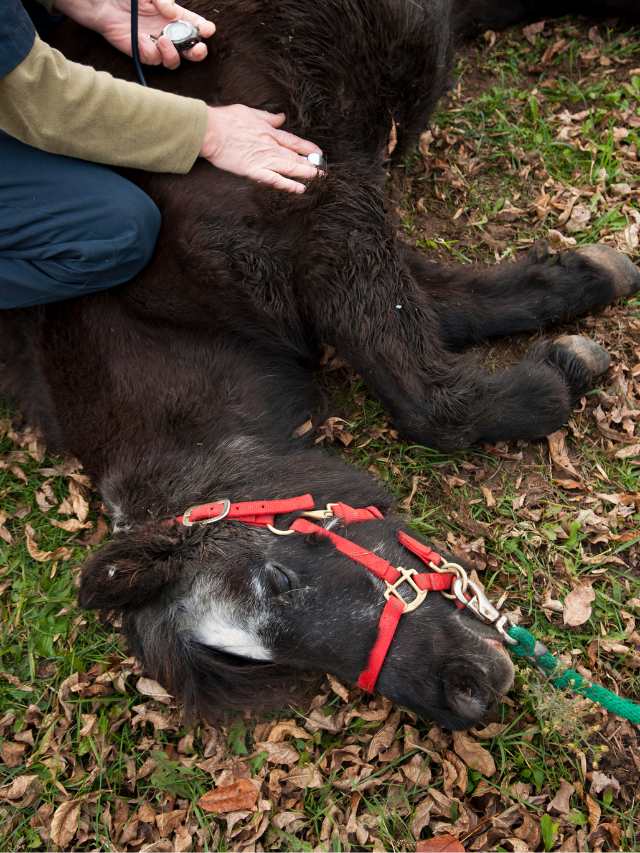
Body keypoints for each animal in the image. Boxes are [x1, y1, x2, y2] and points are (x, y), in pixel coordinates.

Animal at [1, 0, 640, 728]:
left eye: (279, 576)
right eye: (278, 661)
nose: (465, 691)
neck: (153, 315)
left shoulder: (331, 215)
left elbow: (428, 403)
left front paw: (559, 368)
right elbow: (454, 307)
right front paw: (581, 304)